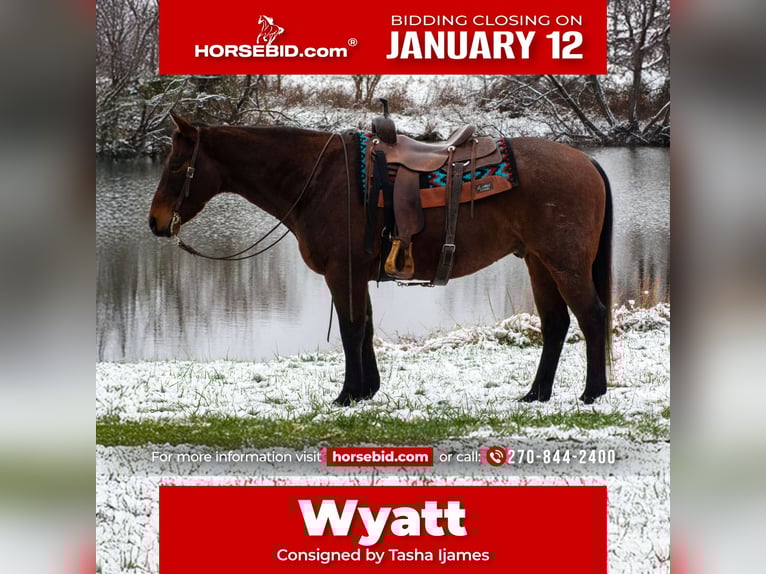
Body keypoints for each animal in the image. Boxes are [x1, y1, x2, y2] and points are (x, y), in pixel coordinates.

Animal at [149, 112, 613, 405]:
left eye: (176, 165)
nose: (155, 222)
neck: (320, 180)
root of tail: (586, 160)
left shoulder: (342, 273)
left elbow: (352, 330)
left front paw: (348, 394)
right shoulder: (357, 274)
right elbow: (367, 329)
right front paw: (367, 389)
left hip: (565, 264)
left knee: (591, 317)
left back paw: (592, 392)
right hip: (539, 263)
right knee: (555, 324)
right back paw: (537, 394)